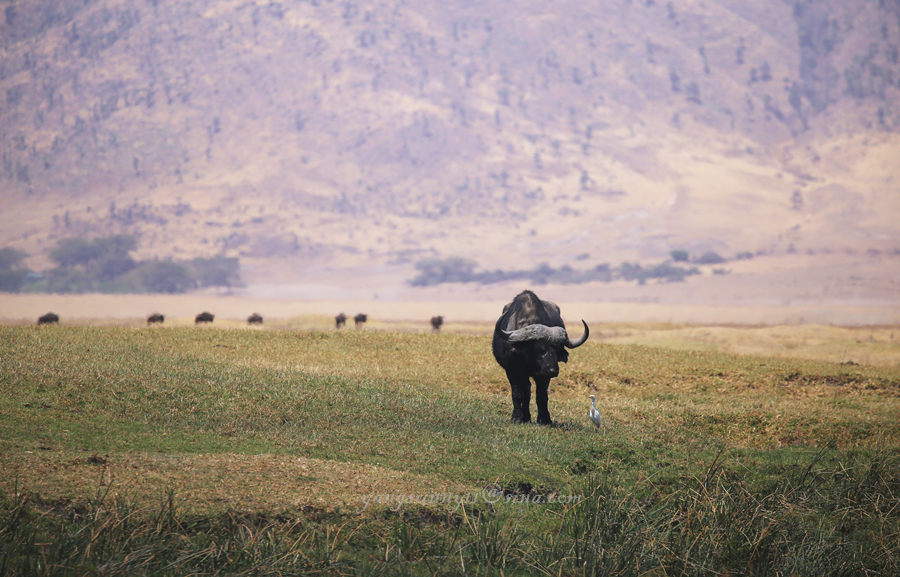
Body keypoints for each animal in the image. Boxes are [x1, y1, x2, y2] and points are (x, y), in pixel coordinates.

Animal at [492, 292, 592, 424]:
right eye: (541, 349)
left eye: (557, 350)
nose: (554, 370)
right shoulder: (511, 370)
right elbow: (517, 394)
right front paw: (517, 418)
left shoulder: (544, 375)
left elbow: (542, 395)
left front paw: (545, 419)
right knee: (526, 390)